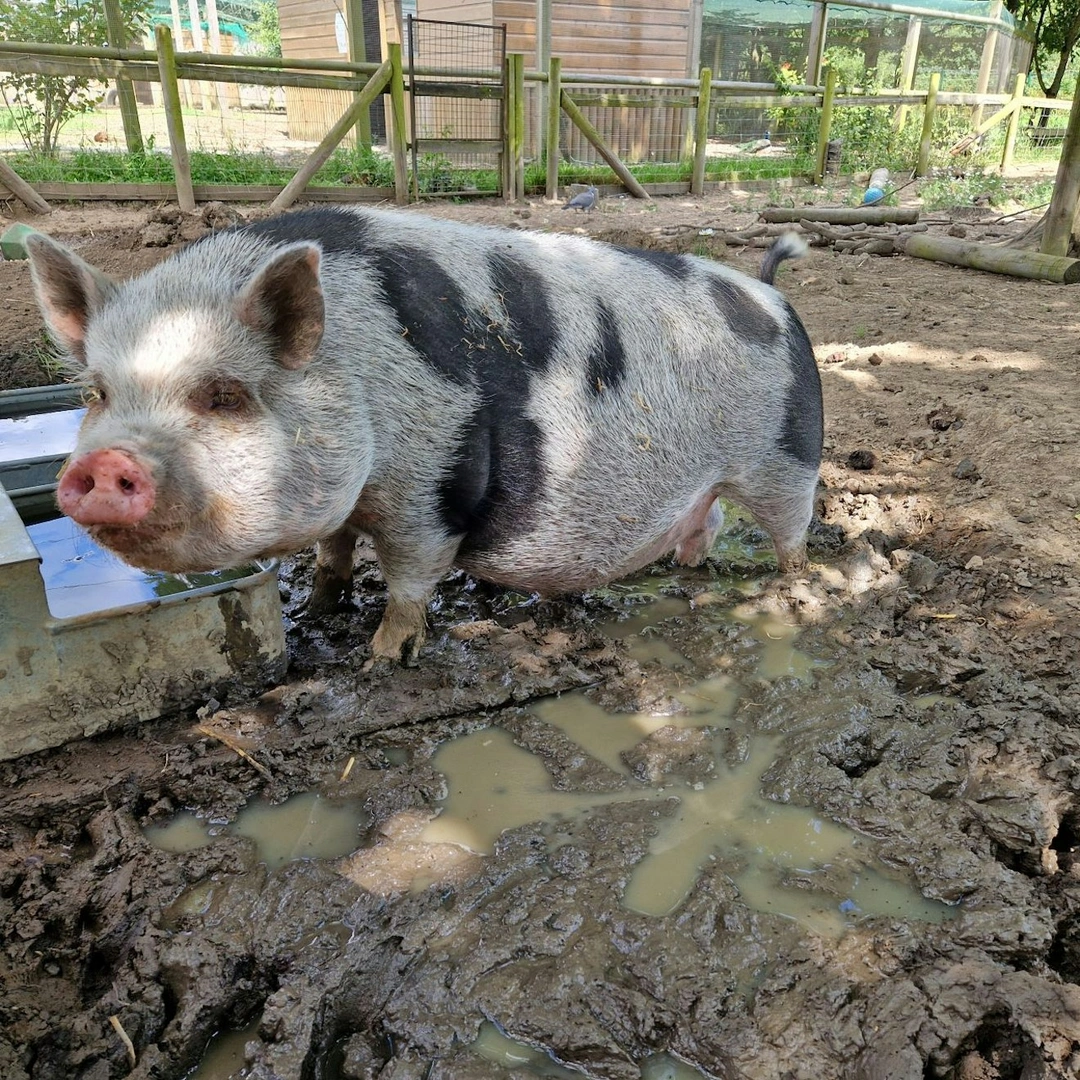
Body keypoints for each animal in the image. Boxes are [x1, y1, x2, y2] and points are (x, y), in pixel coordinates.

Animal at [26, 207, 822, 663]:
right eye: (95, 394)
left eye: (224, 394)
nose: (103, 465)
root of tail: (775, 296)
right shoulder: (352, 505)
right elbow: (333, 553)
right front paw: (317, 608)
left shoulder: (428, 491)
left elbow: (410, 582)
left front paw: (380, 658)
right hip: (712, 478)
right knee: (708, 516)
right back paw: (684, 569)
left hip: (786, 457)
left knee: (791, 530)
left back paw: (794, 593)